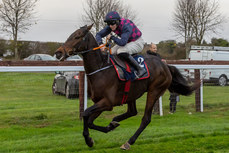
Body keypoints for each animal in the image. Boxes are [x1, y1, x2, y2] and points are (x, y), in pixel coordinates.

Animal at [54, 24, 199, 150]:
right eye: (70, 35)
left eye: (77, 36)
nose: (58, 52)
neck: (100, 69)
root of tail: (165, 65)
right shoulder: (99, 102)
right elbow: (89, 119)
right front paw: (100, 133)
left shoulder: (108, 103)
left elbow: (85, 114)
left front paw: (90, 139)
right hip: (131, 94)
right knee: (132, 112)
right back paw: (114, 122)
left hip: (154, 91)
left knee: (145, 119)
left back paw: (128, 142)